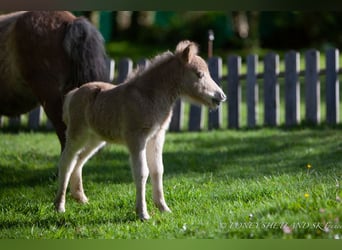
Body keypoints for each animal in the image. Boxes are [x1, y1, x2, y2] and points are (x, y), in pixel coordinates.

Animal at [54, 41, 227, 221]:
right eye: (199, 74)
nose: (221, 96)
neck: (149, 96)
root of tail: (73, 93)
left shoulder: (157, 136)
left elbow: (158, 170)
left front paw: (163, 208)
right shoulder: (136, 138)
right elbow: (142, 172)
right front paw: (143, 213)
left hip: (96, 139)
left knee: (79, 159)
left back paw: (80, 198)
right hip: (77, 134)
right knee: (66, 161)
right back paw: (59, 206)